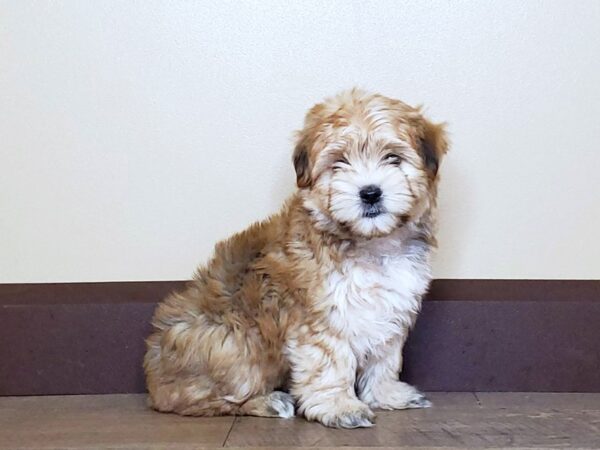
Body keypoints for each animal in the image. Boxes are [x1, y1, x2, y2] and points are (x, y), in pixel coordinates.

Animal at [143, 89, 448, 428]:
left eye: (393, 158)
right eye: (339, 163)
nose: (370, 193)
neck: (371, 243)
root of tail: (155, 383)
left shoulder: (390, 308)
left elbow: (384, 357)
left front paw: (386, 394)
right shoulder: (321, 317)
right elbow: (331, 361)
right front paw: (341, 406)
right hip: (233, 343)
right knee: (206, 400)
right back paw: (269, 402)